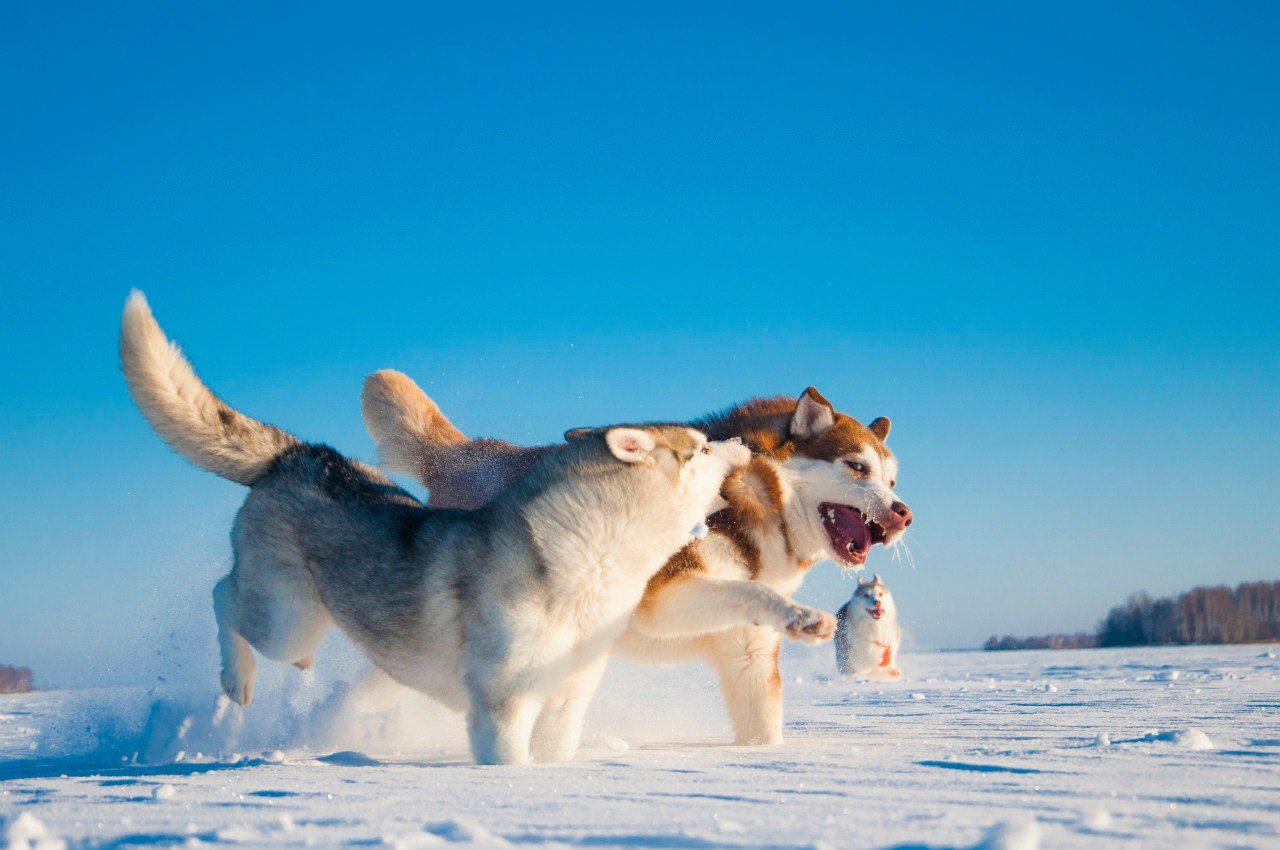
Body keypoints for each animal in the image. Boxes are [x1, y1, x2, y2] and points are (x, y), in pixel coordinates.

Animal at [120, 294, 747, 762]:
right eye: (702, 447)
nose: (740, 442)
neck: (592, 558)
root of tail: (301, 454)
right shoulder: (501, 709)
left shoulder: (565, 702)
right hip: (284, 618)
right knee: (223, 596)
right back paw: (237, 679)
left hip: (310, 616)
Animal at [358, 371, 911, 742]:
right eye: (856, 467)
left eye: (891, 480)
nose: (904, 514)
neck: (752, 497)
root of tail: (466, 455)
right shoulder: (662, 601)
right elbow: (747, 589)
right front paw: (801, 617)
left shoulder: (749, 655)